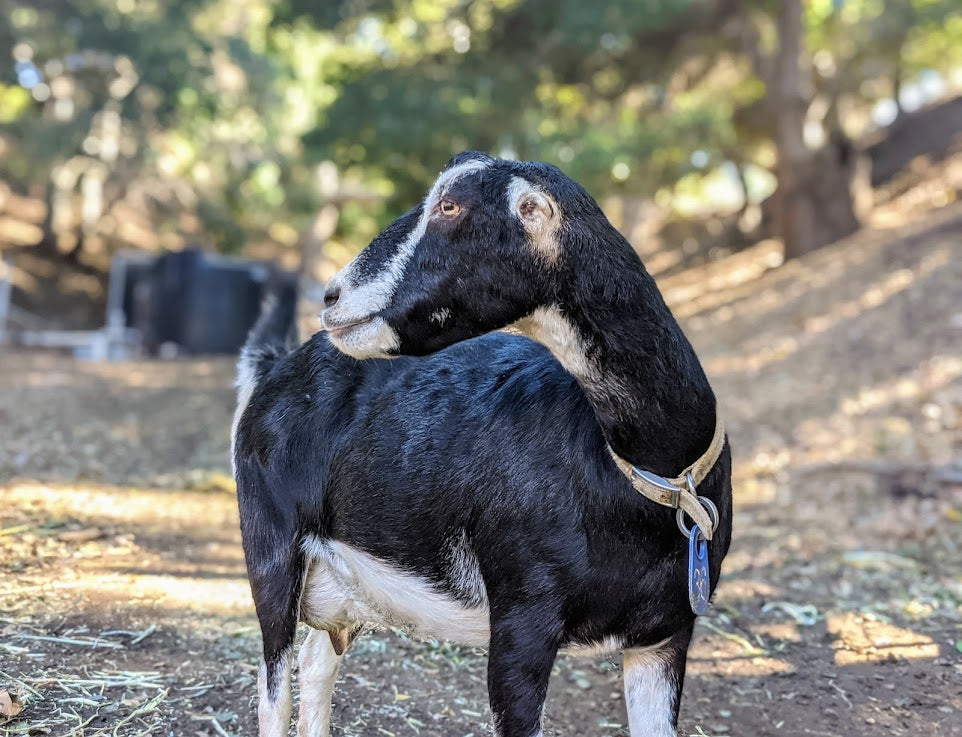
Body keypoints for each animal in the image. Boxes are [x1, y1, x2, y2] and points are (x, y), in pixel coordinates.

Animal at [233, 151, 732, 737]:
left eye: (450, 206)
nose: (332, 296)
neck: (660, 476)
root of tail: (275, 370)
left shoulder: (664, 639)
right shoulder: (521, 624)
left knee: (316, 665)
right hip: (271, 549)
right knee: (275, 686)